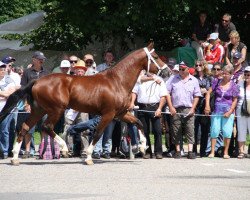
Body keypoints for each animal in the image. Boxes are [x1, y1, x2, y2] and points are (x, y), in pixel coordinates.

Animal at [0, 41, 169, 164]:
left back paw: (15, 157)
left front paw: (142, 146)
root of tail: (37, 81)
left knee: (24, 127)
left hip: (39, 109)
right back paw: (64, 149)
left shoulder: (121, 114)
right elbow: (98, 133)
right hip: (56, 109)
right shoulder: (108, 114)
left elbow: (139, 123)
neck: (117, 81)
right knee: (46, 127)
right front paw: (88, 157)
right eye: (156, 56)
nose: (167, 71)